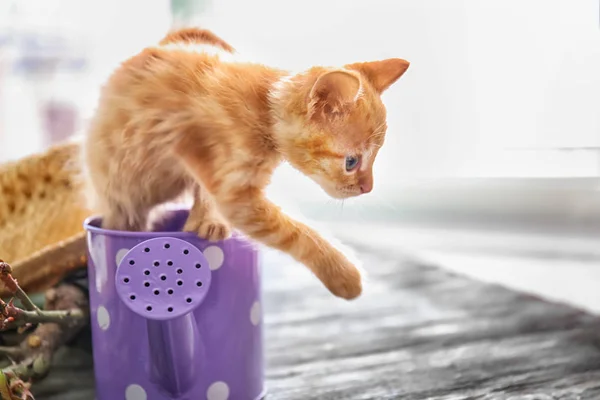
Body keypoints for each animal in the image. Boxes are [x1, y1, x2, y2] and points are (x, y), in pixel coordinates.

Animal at [82, 26, 410, 298]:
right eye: (352, 162)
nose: (367, 188)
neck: (263, 109)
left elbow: (206, 191)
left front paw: (206, 220)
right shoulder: (235, 192)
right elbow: (294, 231)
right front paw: (344, 275)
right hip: (120, 200)